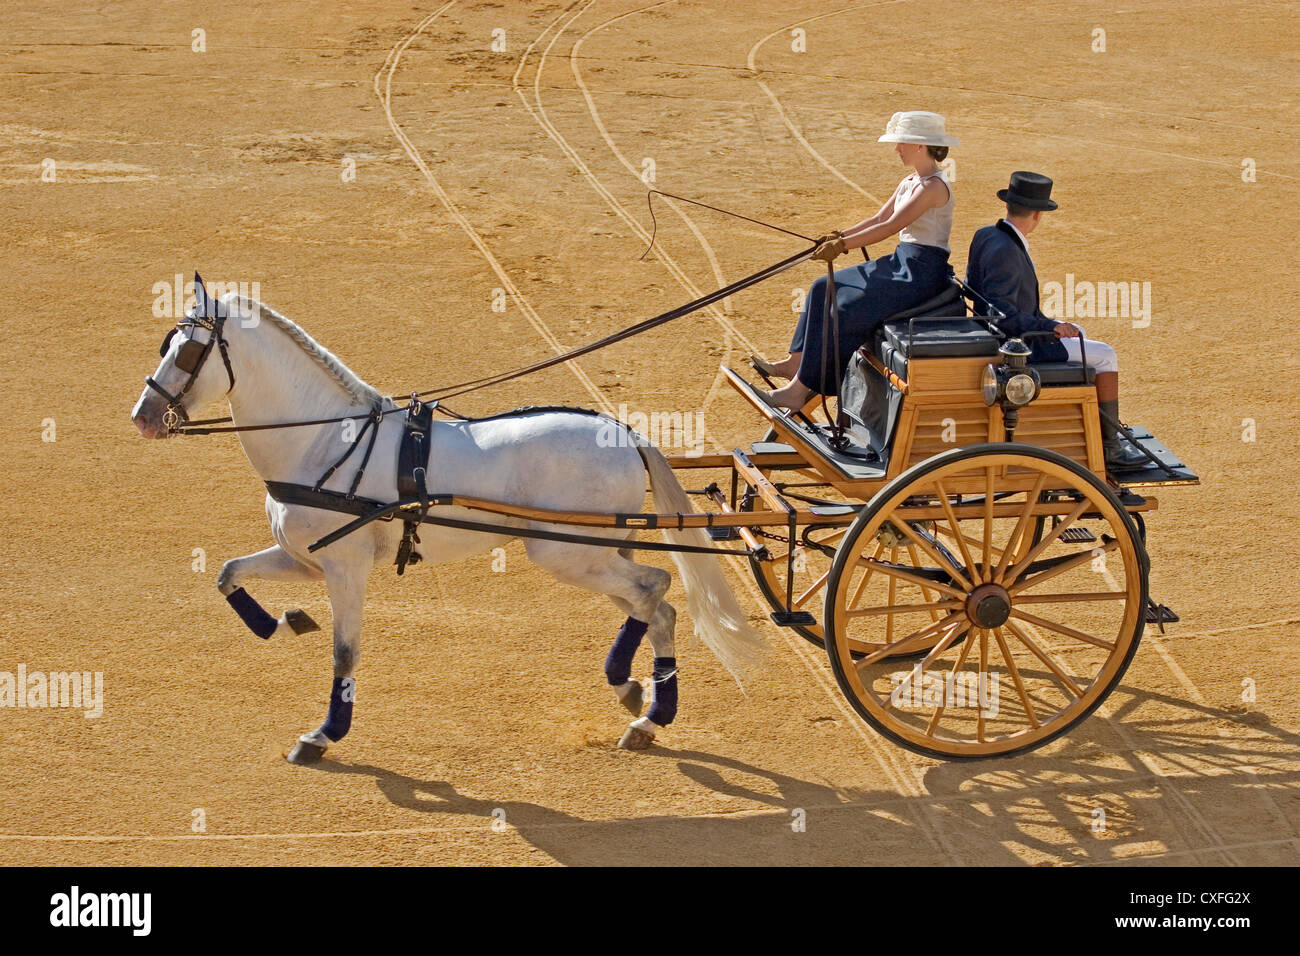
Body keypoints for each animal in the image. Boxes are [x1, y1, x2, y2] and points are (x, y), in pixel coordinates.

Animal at [129, 274, 759, 764]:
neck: (323, 442)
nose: (144, 417)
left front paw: (324, 735)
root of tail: (625, 433)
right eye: (167, 343)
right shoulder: (303, 559)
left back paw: (637, 698)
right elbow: (228, 573)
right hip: (596, 554)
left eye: (186, 353)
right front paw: (287, 622)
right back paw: (640, 705)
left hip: (568, 553)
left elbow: (344, 652)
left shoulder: (346, 568)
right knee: (658, 606)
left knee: (654, 589)